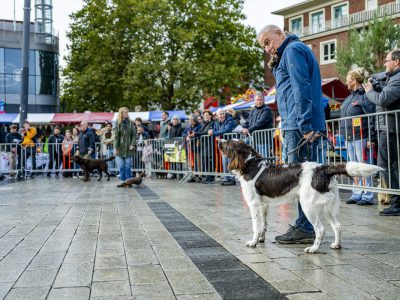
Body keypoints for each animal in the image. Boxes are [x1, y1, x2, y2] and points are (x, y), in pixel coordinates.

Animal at [217, 139, 382, 253]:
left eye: (228, 143)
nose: (218, 140)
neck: (250, 164)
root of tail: (322, 168)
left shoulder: (254, 204)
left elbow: (255, 226)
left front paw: (253, 242)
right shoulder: (263, 205)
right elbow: (263, 225)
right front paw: (261, 239)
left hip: (308, 205)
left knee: (320, 229)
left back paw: (313, 249)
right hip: (328, 206)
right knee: (338, 226)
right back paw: (336, 245)